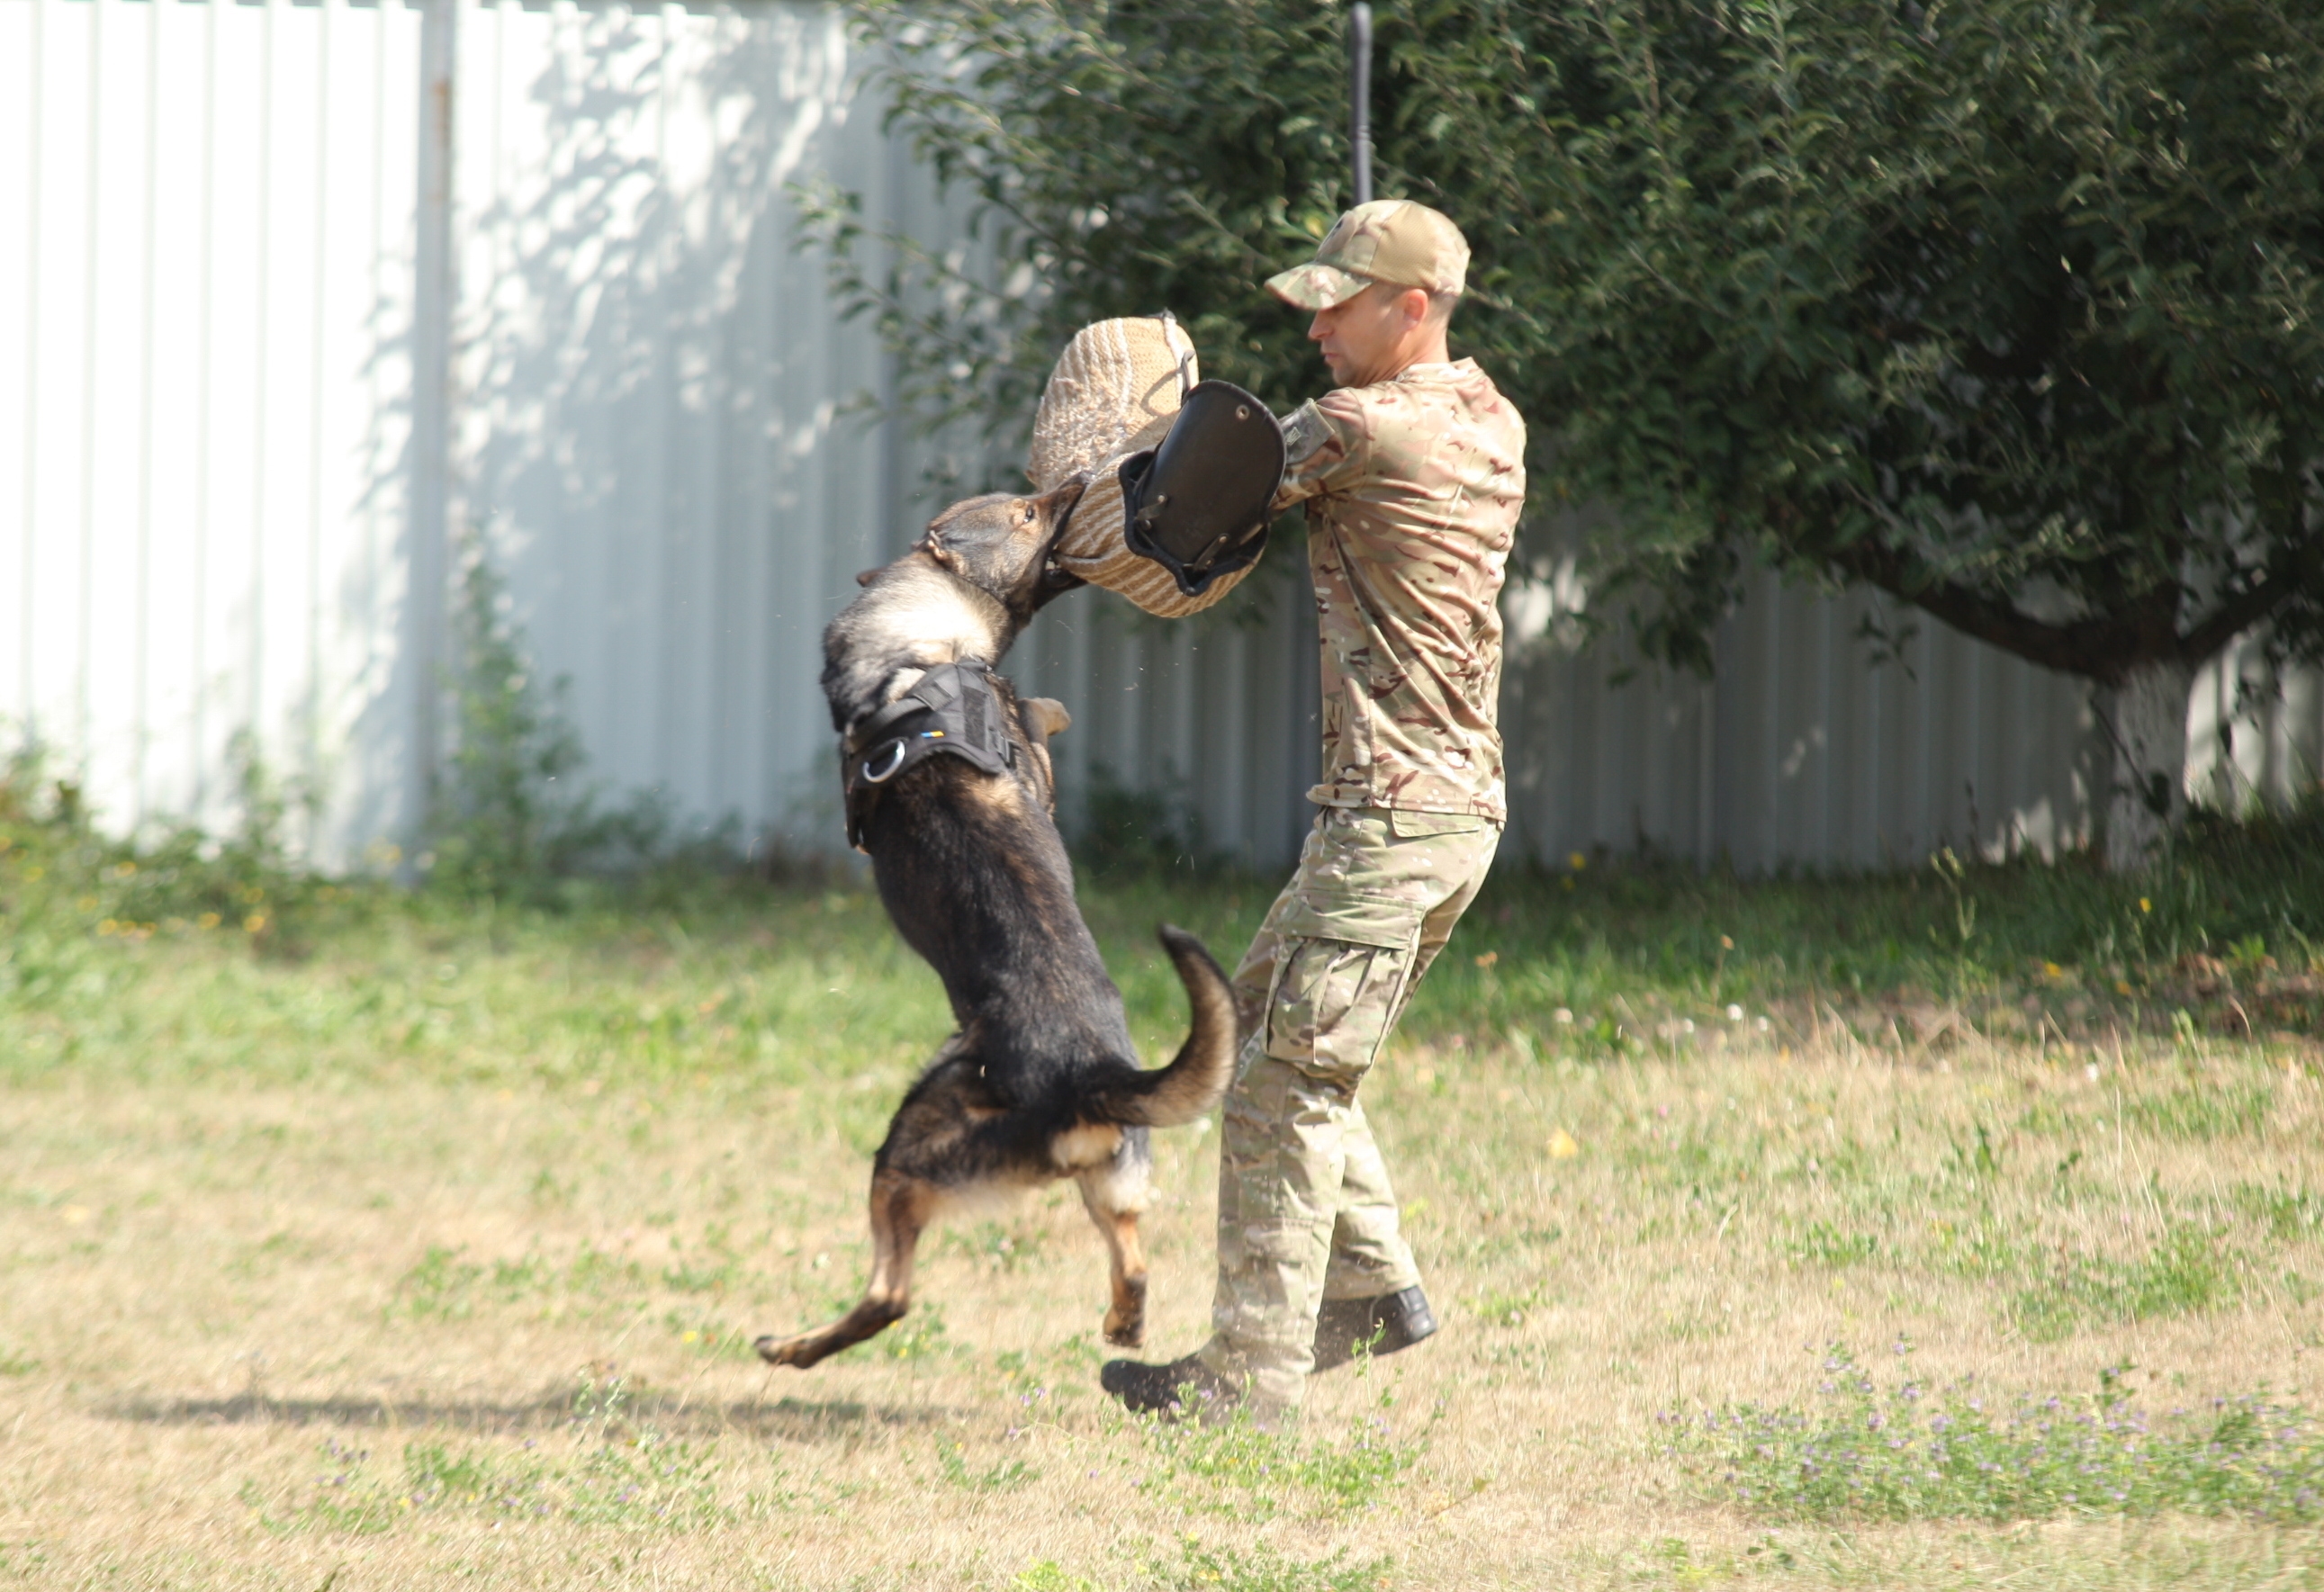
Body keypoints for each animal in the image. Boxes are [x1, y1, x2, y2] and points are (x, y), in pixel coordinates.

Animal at [757, 473, 1236, 1366]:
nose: (1080, 485)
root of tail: (1091, 1073)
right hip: (1099, 1177)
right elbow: (1042, 719)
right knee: (1132, 1261)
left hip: (909, 1142)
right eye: (1025, 512)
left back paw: (792, 1347)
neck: (925, 641)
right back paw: (1120, 1326)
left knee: (890, 1294)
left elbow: (1041, 710)